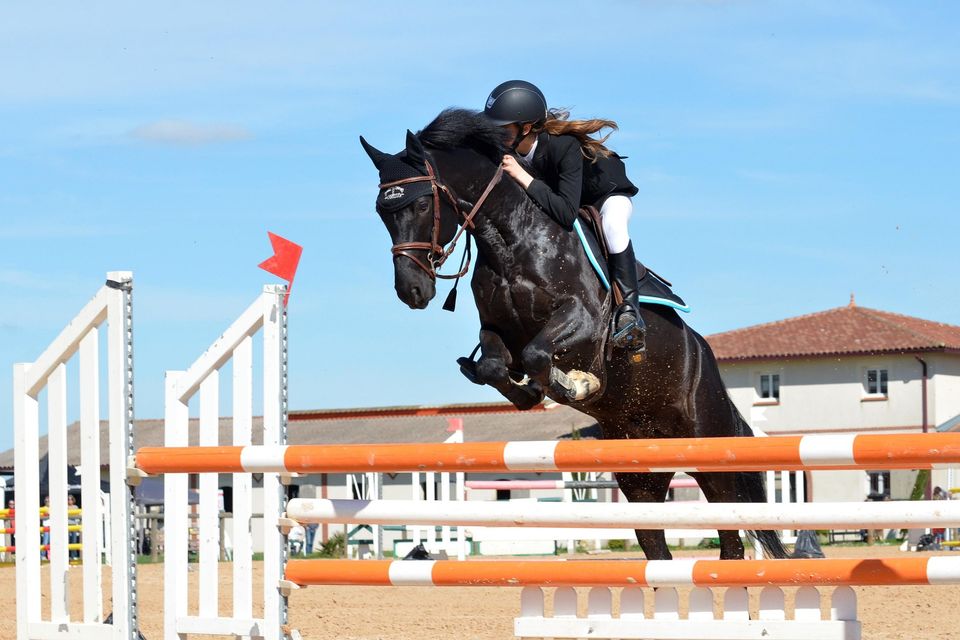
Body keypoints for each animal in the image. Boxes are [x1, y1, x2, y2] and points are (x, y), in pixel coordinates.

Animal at [360, 108, 788, 561]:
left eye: (424, 202)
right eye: (382, 213)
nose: (411, 291)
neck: (510, 239)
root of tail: (705, 357)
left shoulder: (583, 321)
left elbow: (539, 354)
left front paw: (577, 384)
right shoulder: (497, 331)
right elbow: (497, 366)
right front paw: (532, 392)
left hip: (710, 450)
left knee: (731, 539)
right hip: (639, 473)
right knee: (658, 547)